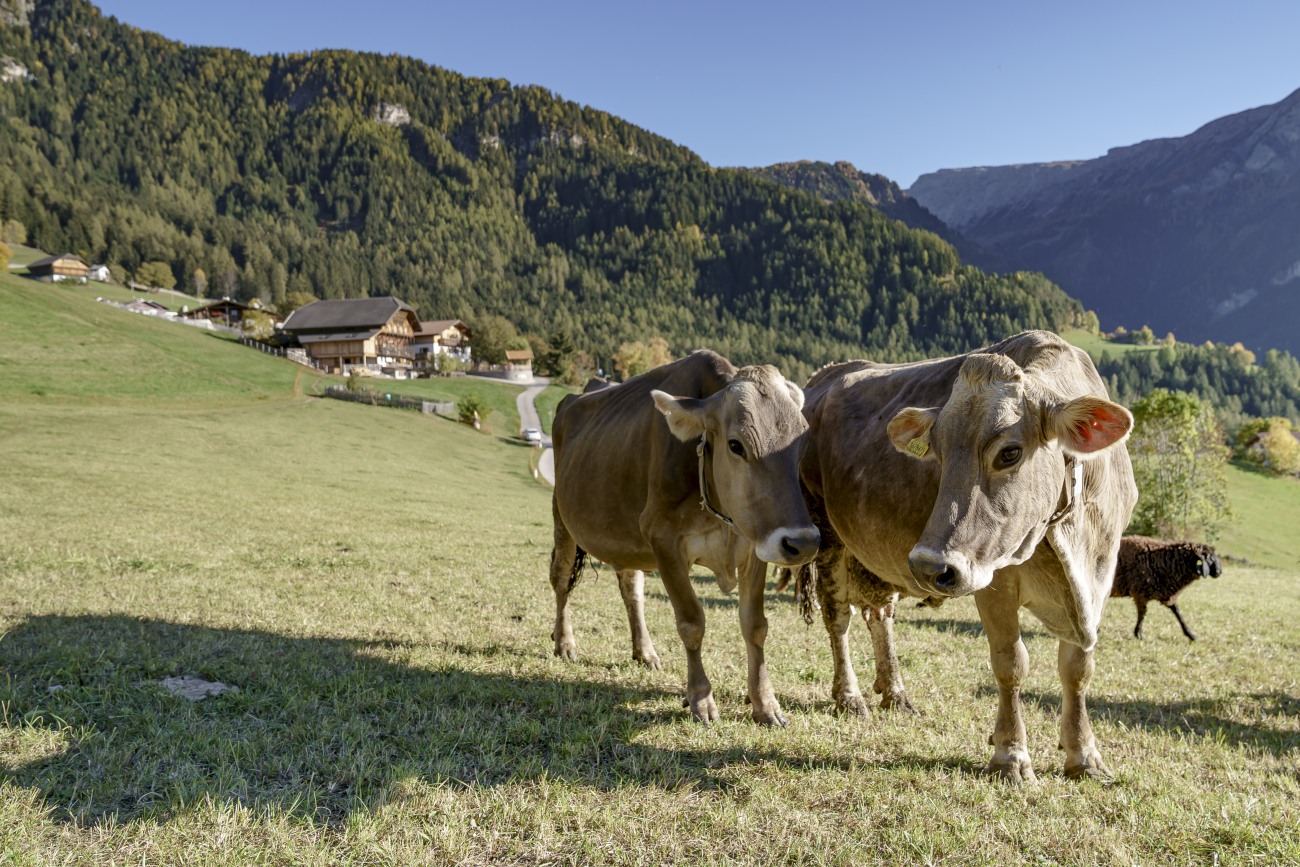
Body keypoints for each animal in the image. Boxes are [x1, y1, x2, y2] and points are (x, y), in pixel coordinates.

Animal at [546, 350, 811, 727]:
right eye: (736, 445)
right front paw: (701, 699)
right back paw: (564, 643)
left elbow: (755, 625)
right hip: (563, 517)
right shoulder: (663, 538)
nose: (803, 543)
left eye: (803, 442)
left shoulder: (755, 544)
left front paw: (765, 703)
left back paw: (644, 651)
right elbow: (691, 622)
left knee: (631, 589)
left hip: (625, 536)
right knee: (561, 578)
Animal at [800, 330, 1138, 779]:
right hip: (827, 533)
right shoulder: (992, 576)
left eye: (1009, 453)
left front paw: (1084, 755)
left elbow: (1078, 669)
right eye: (937, 451)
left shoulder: (1099, 575)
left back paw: (895, 693)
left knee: (880, 616)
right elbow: (1011, 663)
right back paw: (849, 696)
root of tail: (822, 378)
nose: (928, 565)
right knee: (838, 617)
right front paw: (1011, 755)